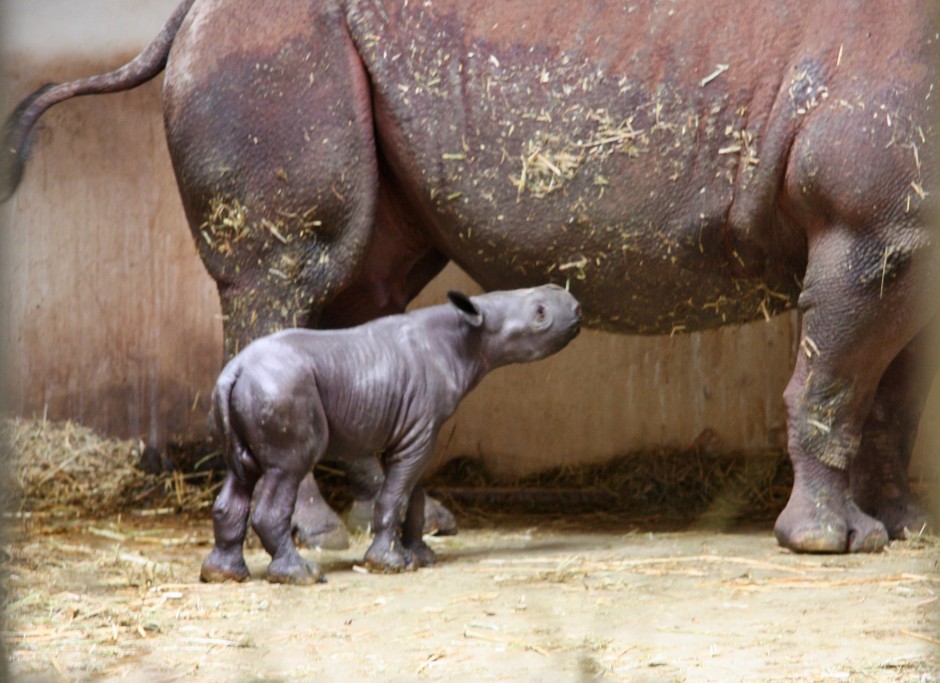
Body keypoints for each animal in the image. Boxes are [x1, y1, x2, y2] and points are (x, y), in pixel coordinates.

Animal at [201, 286, 580, 584]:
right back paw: (302, 575)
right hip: (282, 388)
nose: (576, 307)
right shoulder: (418, 432)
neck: (470, 334)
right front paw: (388, 564)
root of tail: (235, 369)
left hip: (250, 390)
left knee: (241, 473)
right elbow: (394, 497)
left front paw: (421, 556)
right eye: (540, 314)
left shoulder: (410, 431)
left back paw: (223, 574)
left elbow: (413, 496)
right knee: (287, 469)